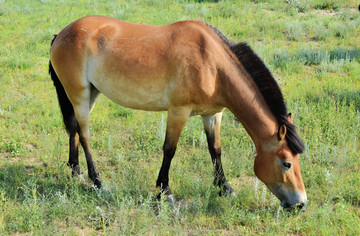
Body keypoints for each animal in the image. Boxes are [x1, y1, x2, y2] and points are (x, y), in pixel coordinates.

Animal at [47, 15, 306, 209]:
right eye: (286, 163)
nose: (301, 204)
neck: (212, 64)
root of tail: (61, 34)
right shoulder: (178, 111)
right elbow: (169, 150)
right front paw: (165, 191)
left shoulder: (213, 114)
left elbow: (215, 150)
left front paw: (224, 187)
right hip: (79, 94)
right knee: (85, 134)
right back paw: (97, 181)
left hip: (90, 93)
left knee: (74, 128)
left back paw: (75, 170)